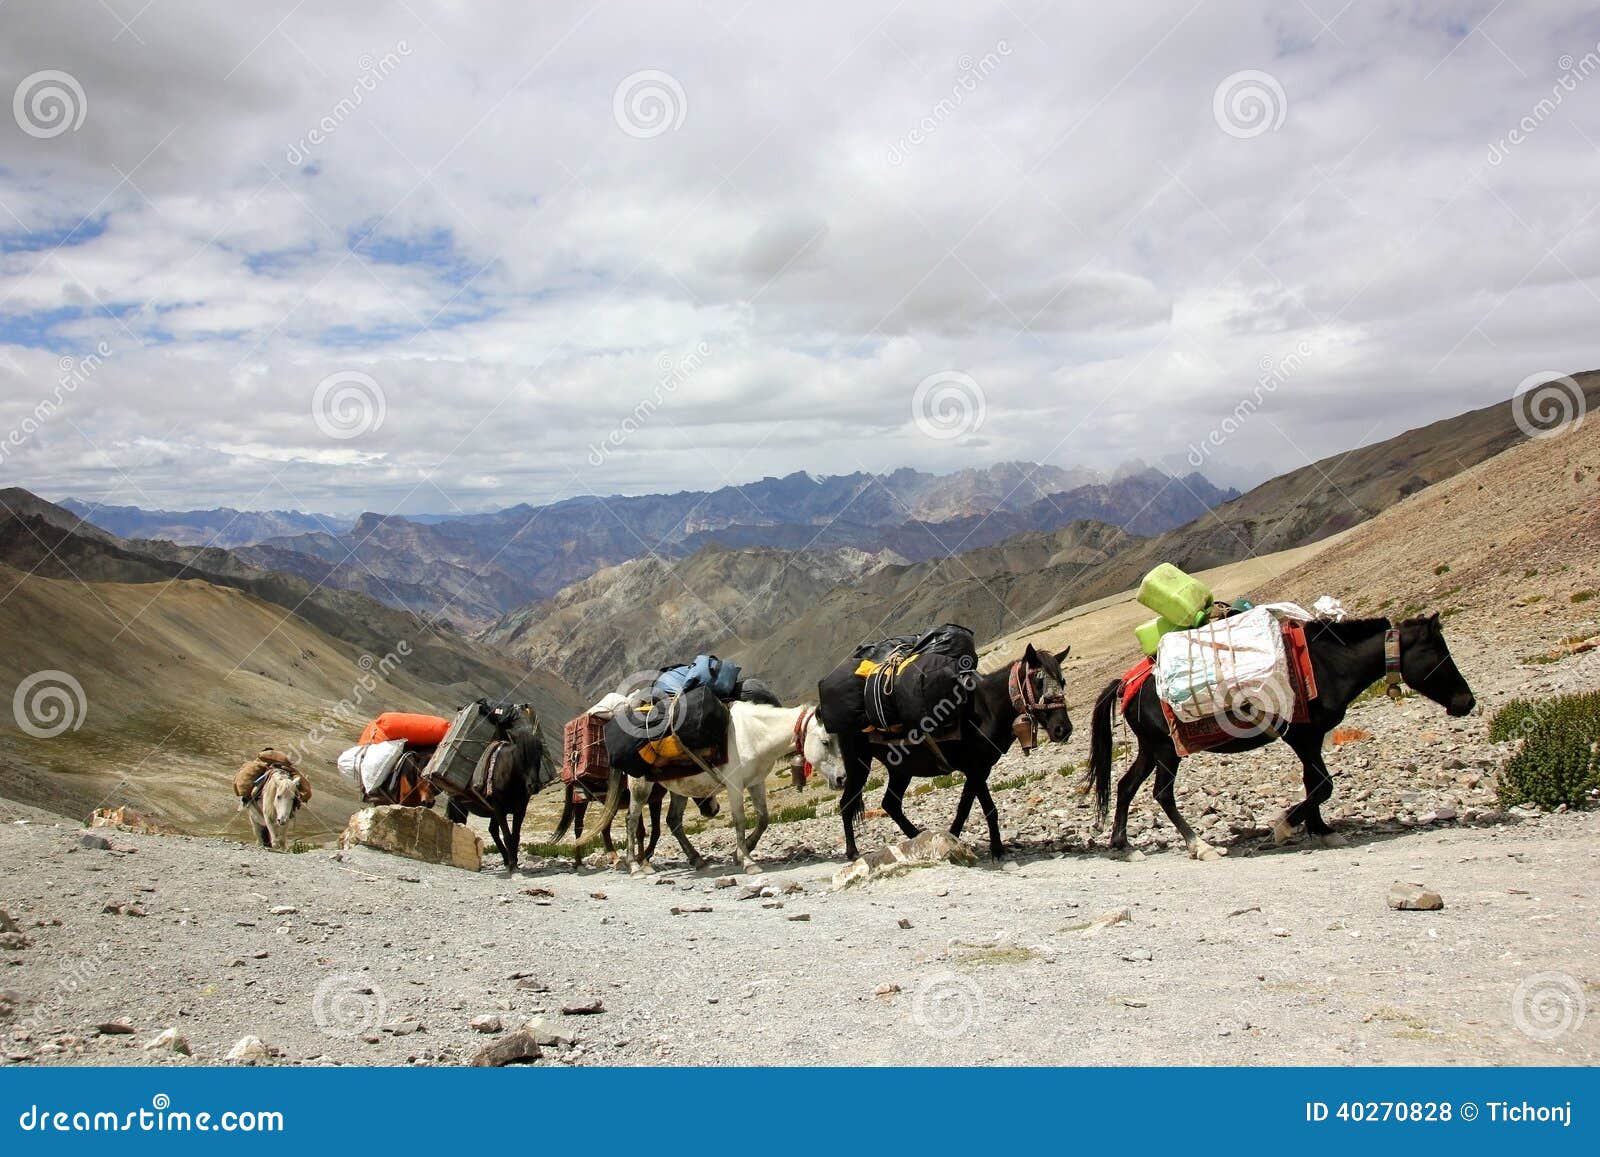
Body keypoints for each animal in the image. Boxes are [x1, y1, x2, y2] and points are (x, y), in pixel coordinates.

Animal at [588, 697, 844, 876]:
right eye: (825, 742)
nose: (842, 779)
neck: (752, 734)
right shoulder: (734, 785)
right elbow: (740, 820)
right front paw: (748, 862)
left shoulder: (756, 783)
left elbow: (763, 819)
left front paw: (740, 853)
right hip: (641, 786)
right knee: (631, 820)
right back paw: (635, 866)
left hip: (680, 787)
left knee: (673, 820)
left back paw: (697, 860)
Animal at [825, 646, 1075, 864]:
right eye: (1038, 681)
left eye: (1062, 681)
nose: (1063, 729)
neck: (986, 709)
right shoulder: (974, 768)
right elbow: (982, 808)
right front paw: (992, 849)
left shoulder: (981, 770)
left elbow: (968, 806)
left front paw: (960, 840)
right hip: (859, 764)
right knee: (847, 803)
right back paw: (853, 852)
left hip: (901, 769)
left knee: (890, 804)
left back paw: (917, 837)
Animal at [1088, 614, 1472, 857]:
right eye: (1439, 654)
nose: (1467, 702)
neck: (1328, 663)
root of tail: (1127, 684)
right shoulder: (1302, 736)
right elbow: (1322, 784)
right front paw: (1285, 826)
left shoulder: (1311, 739)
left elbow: (1313, 782)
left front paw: (1322, 830)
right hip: (1168, 749)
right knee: (1162, 794)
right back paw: (1201, 846)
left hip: (1150, 748)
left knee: (1126, 785)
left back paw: (1122, 844)